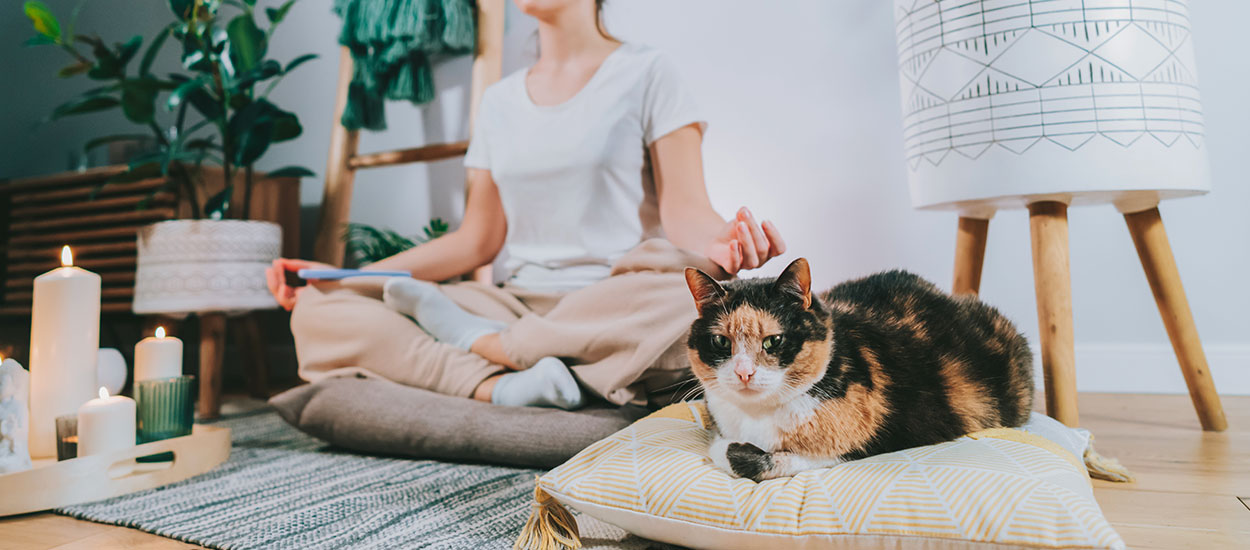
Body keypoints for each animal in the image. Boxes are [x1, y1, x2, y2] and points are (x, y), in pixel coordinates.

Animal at [690, 257, 1030, 480]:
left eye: (773, 340)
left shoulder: (880, 438)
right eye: (720, 341)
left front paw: (728, 448)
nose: (744, 372)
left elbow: (751, 457)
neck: (755, 417)